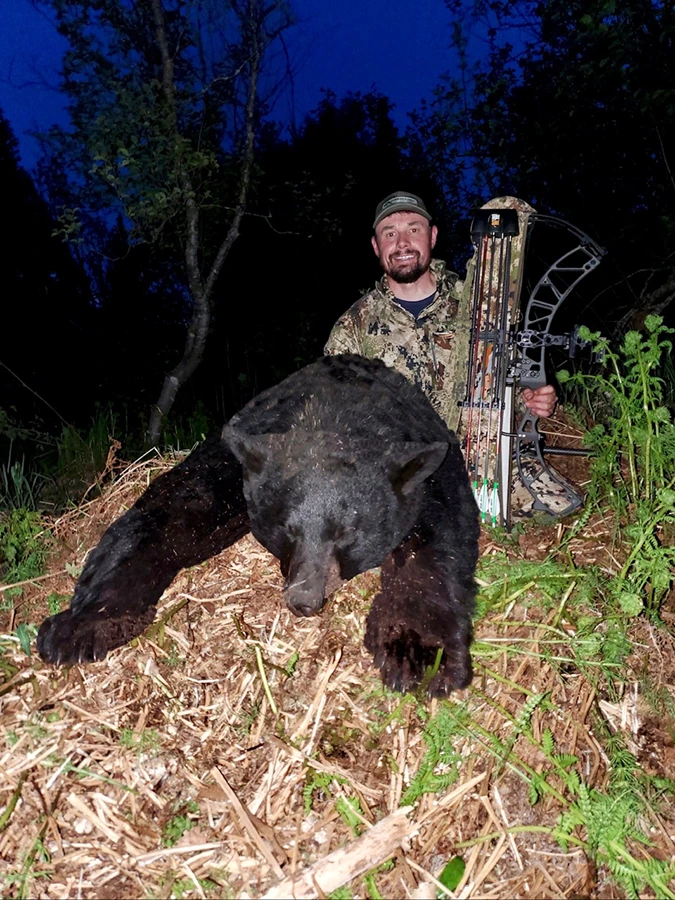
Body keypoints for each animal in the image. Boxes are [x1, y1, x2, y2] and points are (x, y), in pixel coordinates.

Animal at [37, 354, 480, 696]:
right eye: (287, 528)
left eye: (345, 534)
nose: (304, 599)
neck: (337, 414)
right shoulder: (238, 462)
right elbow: (170, 511)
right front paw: (82, 624)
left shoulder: (426, 476)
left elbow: (436, 540)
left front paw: (418, 654)